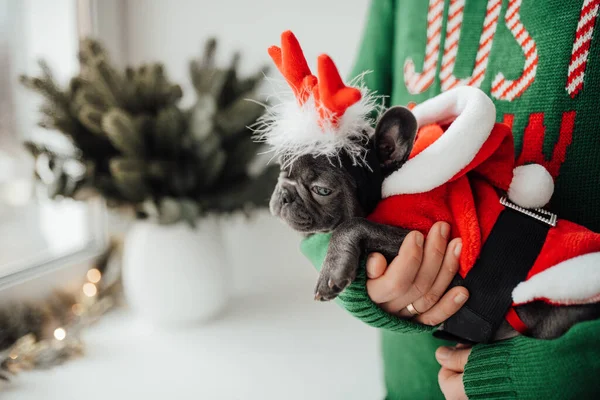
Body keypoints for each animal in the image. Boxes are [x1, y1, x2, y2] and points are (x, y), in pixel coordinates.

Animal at [270, 106, 600, 340]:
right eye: (281, 172)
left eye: (322, 189)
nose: (283, 193)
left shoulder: (427, 236)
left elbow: (352, 226)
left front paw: (332, 271)